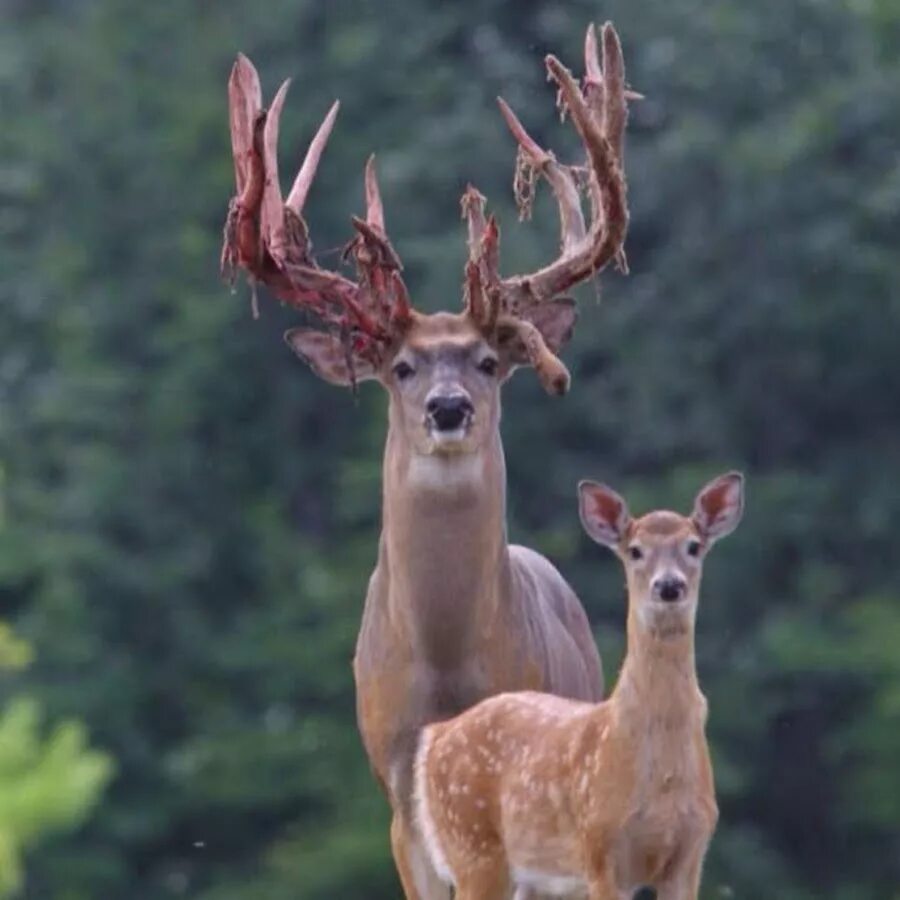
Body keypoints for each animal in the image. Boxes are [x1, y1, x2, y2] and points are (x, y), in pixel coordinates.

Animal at [414, 474, 744, 896]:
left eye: (693, 546)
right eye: (635, 551)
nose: (669, 585)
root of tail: (435, 735)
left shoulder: (691, 850)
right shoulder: (600, 844)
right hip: (471, 839)